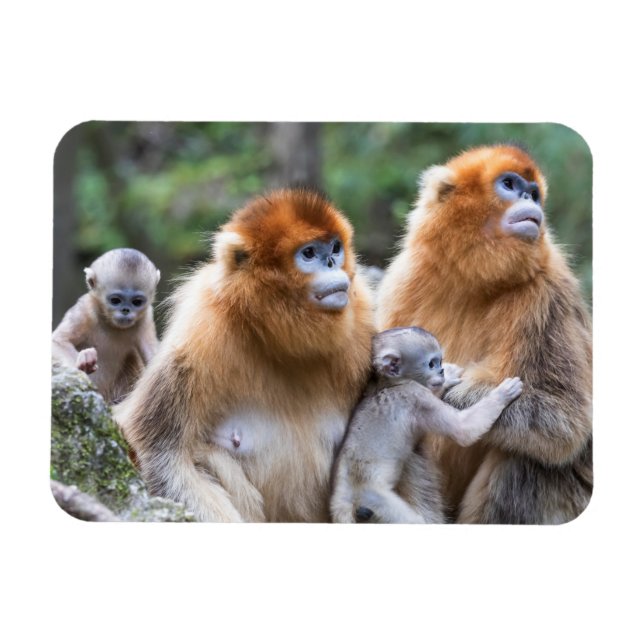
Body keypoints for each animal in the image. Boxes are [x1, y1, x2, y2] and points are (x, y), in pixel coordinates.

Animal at [52, 248, 161, 404]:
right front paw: (83, 362)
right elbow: (58, 341)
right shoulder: (85, 310)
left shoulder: (145, 317)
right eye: (115, 300)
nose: (126, 310)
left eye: (137, 302)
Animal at [113, 188, 375, 522]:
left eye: (336, 248)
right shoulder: (200, 333)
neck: (283, 341)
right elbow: (162, 453)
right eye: (309, 253)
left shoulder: (363, 318)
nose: (331, 262)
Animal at [330, 327, 523, 523]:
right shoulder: (416, 396)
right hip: (374, 501)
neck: (389, 385)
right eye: (431, 364)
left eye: (440, 362)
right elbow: (463, 430)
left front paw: (449, 377)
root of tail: (343, 501)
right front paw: (501, 394)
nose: (441, 371)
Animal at [377, 144, 593, 524]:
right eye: (509, 185)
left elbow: (566, 422)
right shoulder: (404, 277)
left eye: (534, 193)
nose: (529, 199)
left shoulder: (549, 291)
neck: (476, 280)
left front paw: (449, 393)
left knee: (526, 458)